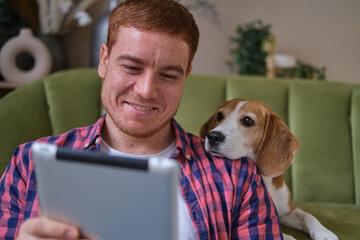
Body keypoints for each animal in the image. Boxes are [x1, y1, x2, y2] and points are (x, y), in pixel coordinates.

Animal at [200, 98, 338, 240]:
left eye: (248, 120)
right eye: (219, 115)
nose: (213, 136)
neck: (264, 180)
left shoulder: (287, 213)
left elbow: (307, 215)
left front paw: (323, 232)